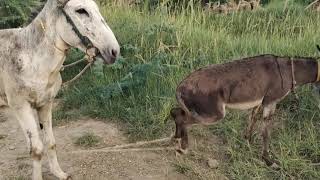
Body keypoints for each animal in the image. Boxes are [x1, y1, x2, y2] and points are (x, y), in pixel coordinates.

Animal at [0, 0, 120, 179]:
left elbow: (50, 142)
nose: (114, 51)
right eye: (81, 10)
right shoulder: (21, 107)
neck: (30, 58)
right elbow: (36, 150)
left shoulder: (45, 104)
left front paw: (59, 173)